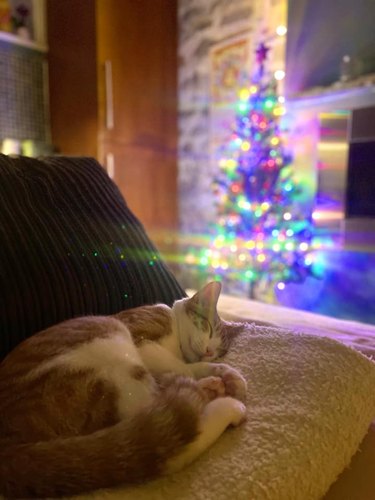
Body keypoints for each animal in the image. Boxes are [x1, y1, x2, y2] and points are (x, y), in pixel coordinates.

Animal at [0, 282, 248, 496]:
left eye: (219, 350)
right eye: (208, 328)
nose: (209, 351)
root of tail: (10, 447)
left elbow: (191, 368)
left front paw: (229, 374)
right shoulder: (142, 339)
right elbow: (182, 368)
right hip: (111, 339)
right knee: (167, 446)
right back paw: (223, 402)